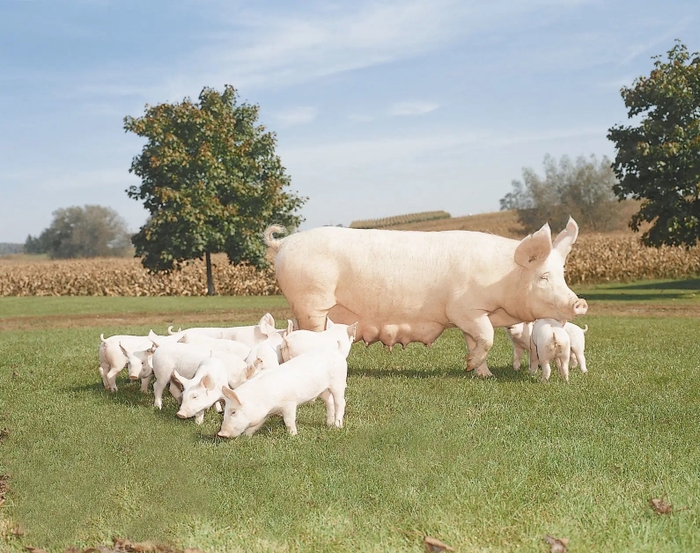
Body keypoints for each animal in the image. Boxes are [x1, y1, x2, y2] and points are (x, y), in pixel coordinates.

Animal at [219, 344, 348, 436]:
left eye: (233, 412)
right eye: (225, 412)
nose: (221, 433)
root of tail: (337, 352)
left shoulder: (289, 403)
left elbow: (289, 420)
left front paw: (293, 435)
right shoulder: (265, 413)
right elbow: (256, 425)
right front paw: (247, 436)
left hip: (338, 382)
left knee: (340, 402)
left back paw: (337, 425)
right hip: (324, 389)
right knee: (329, 402)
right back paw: (329, 424)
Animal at [266, 218, 588, 378]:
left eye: (562, 274)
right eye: (543, 277)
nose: (580, 303)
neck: (503, 278)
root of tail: (284, 243)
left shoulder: (472, 317)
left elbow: (475, 341)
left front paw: (482, 374)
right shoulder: (464, 309)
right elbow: (487, 337)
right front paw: (470, 365)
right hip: (312, 302)